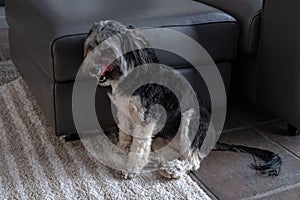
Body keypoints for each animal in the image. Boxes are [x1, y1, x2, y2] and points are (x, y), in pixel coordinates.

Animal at [81, 20, 282, 179]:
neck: (128, 73)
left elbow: (138, 148)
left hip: (190, 118)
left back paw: (174, 170)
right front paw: (120, 148)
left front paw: (131, 169)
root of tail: (210, 139)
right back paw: (157, 159)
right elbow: (124, 133)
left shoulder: (145, 121)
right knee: (172, 151)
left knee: (192, 160)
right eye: (91, 47)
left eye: (107, 49)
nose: (90, 69)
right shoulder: (123, 112)